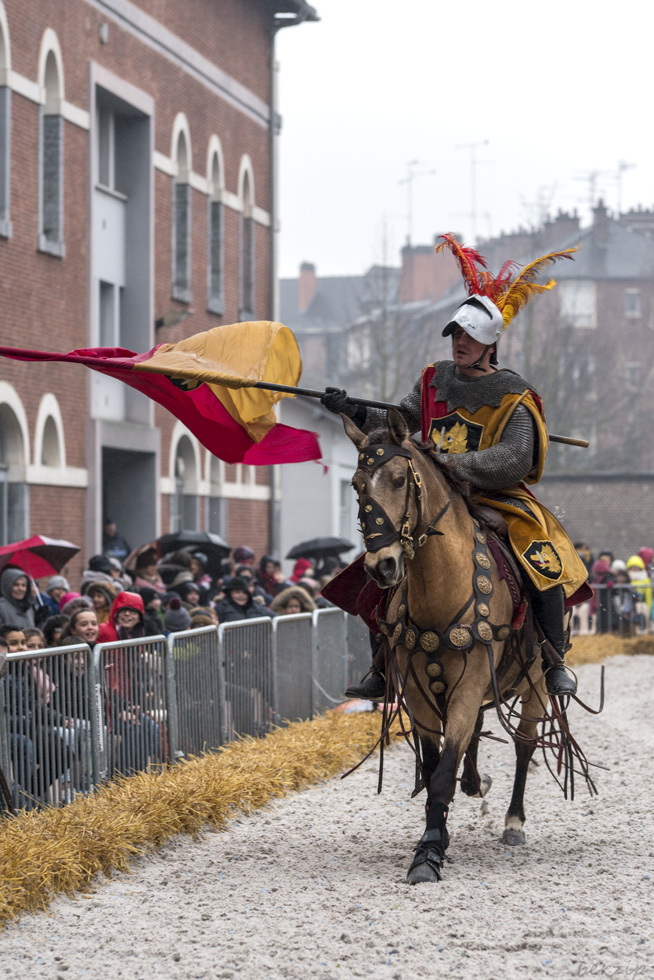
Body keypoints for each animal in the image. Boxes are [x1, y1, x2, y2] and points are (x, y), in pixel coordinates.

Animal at [344, 410, 588, 884]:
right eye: (357, 484)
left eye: (399, 479)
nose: (382, 567)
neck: (440, 588)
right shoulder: (420, 692)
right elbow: (433, 765)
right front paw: (435, 835)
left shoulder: (470, 684)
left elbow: (442, 773)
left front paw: (428, 854)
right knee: (476, 737)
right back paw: (476, 782)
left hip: (534, 681)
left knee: (525, 743)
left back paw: (513, 822)